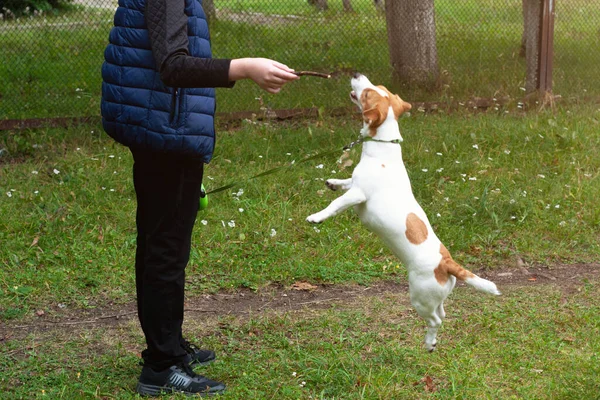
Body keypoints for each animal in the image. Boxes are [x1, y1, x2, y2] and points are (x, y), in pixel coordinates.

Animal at [308, 73, 500, 352]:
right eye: (378, 87)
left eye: (367, 93)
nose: (356, 74)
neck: (383, 149)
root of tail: (447, 263)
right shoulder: (354, 184)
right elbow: (345, 182)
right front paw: (333, 182)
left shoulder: (358, 194)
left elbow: (336, 204)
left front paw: (316, 217)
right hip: (436, 296)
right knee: (442, 312)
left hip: (420, 297)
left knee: (435, 321)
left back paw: (429, 342)